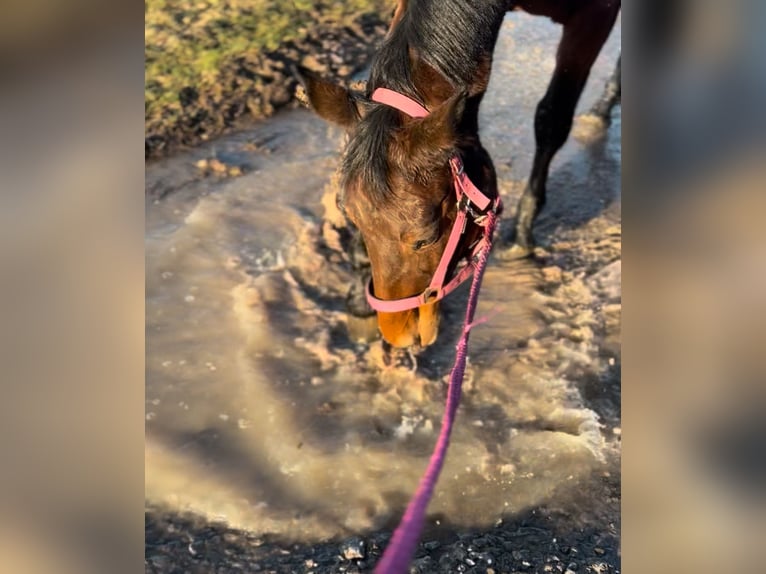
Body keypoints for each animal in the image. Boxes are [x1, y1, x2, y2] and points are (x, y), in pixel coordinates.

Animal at [300, 0, 621, 348]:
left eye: (426, 238)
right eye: (351, 216)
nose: (398, 333)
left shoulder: (594, 16)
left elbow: (552, 118)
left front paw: (523, 230)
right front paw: (360, 296)